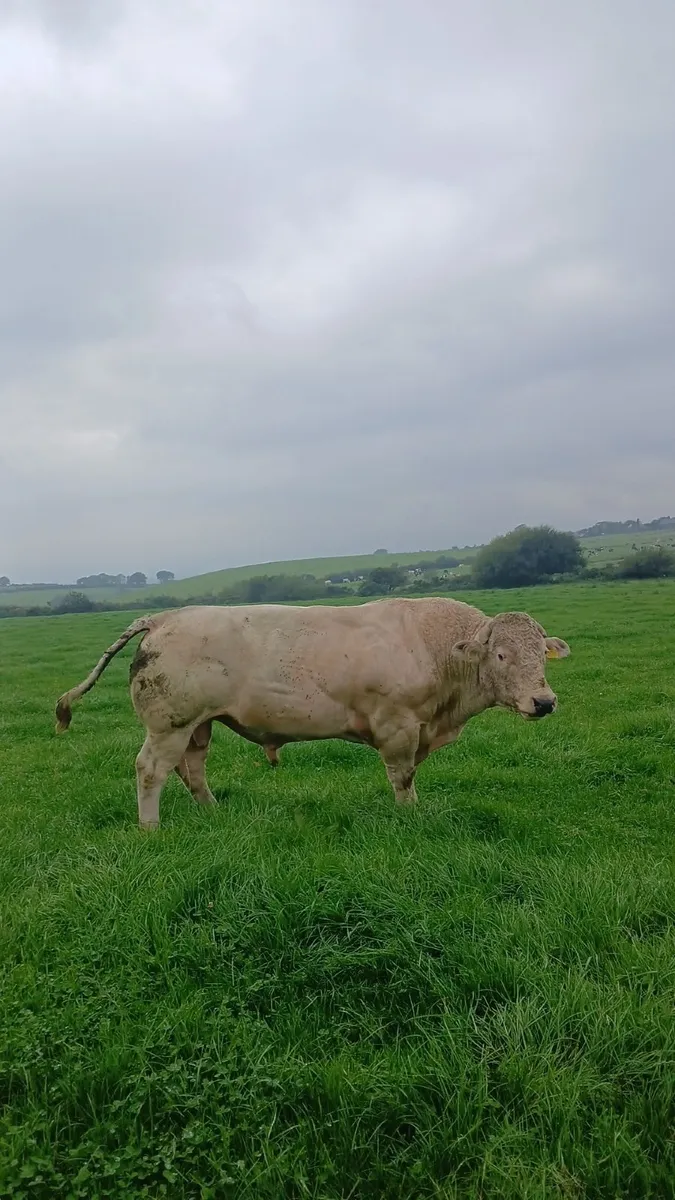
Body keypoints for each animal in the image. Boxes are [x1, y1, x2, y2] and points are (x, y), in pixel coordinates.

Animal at [54, 598, 570, 830]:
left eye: (541, 656)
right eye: (501, 655)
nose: (544, 702)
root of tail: (164, 617)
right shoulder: (398, 725)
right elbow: (402, 778)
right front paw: (409, 816)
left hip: (196, 726)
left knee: (191, 769)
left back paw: (212, 811)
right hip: (169, 724)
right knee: (150, 770)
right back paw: (150, 828)